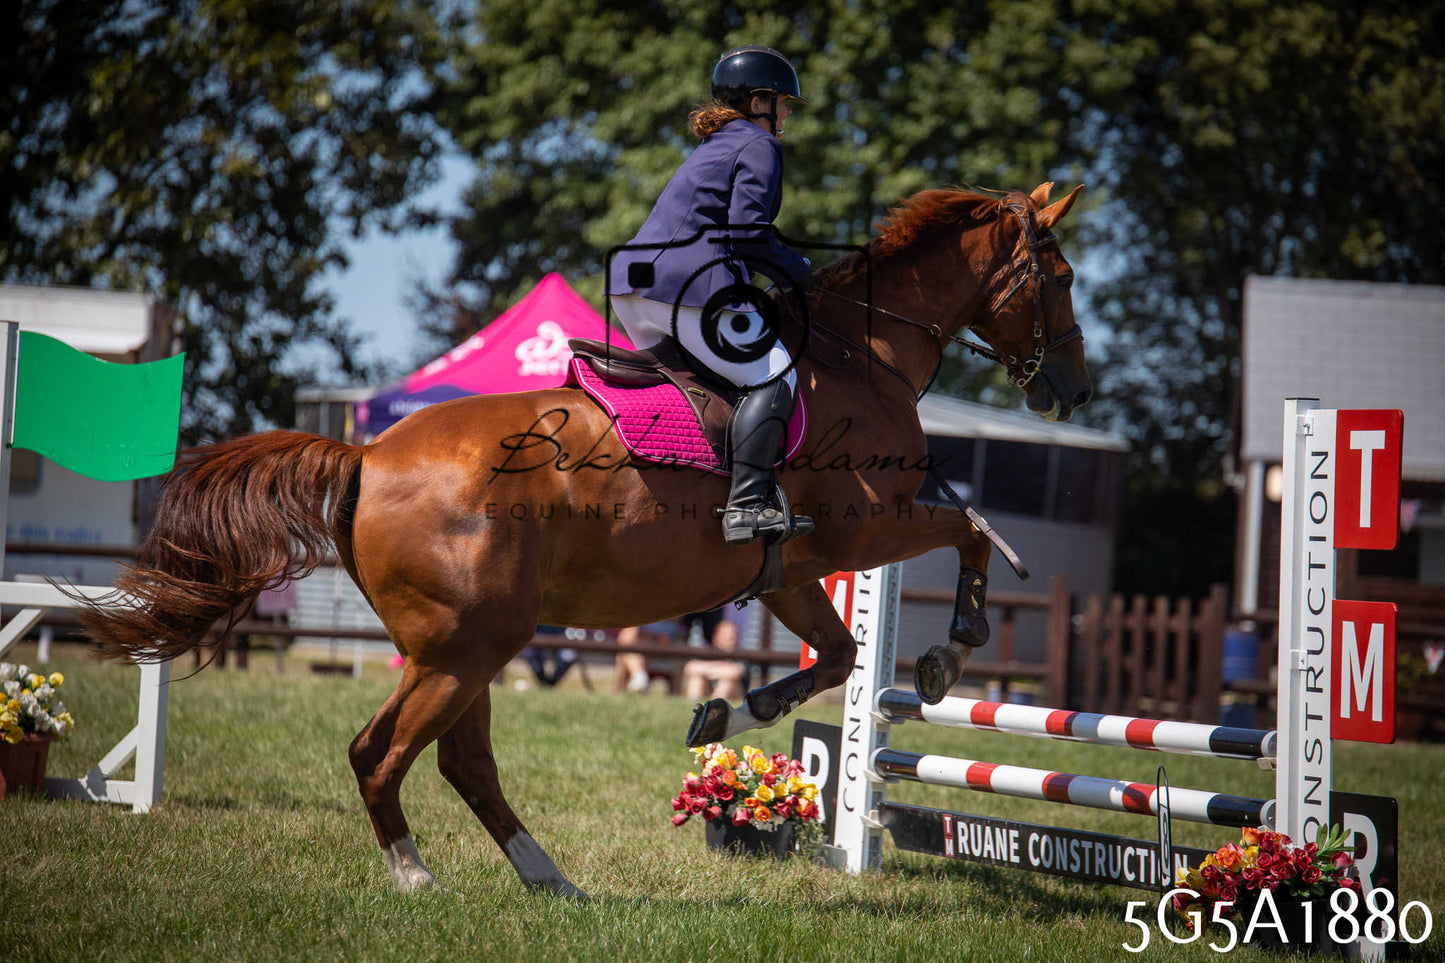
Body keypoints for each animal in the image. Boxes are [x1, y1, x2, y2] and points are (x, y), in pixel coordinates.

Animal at [79, 182, 1090, 899]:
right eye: (1064, 277)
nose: (1072, 390)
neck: (863, 353)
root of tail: (366, 452)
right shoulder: (868, 524)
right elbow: (968, 530)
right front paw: (947, 654)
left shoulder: (791, 569)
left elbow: (839, 655)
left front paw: (731, 713)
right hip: (467, 645)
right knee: (384, 753)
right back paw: (414, 872)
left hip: (466, 647)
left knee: (462, 761)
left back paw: (548, 876)